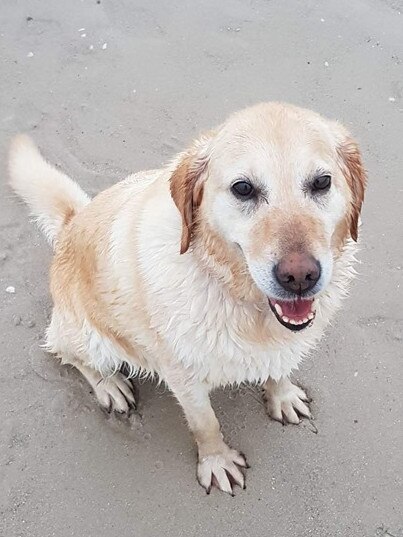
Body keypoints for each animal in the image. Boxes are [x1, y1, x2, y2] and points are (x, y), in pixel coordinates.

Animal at [7, 102, 368, 492]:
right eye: (243, 189)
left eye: (322, 182)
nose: (299, 277)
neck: (241, 298)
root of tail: (72, 221)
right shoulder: (183, 376)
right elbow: (205, 423)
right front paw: (217, 461)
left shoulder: (283, 344)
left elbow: (280, 367)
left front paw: (282, 396)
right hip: (90, 337)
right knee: (67, 354)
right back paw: (110, 385)